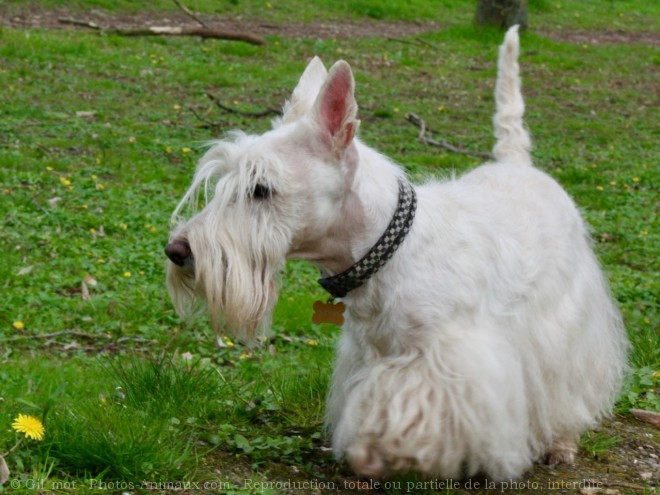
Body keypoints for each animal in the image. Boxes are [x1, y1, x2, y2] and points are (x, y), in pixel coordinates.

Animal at [165, 26, 628, 480]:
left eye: (261, 189)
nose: (176, 251)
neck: (383, 253)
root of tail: (518, 164)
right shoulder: (365, 356)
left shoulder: (449, 365)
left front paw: (389, 453)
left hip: (568, 328)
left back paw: (560, 444)